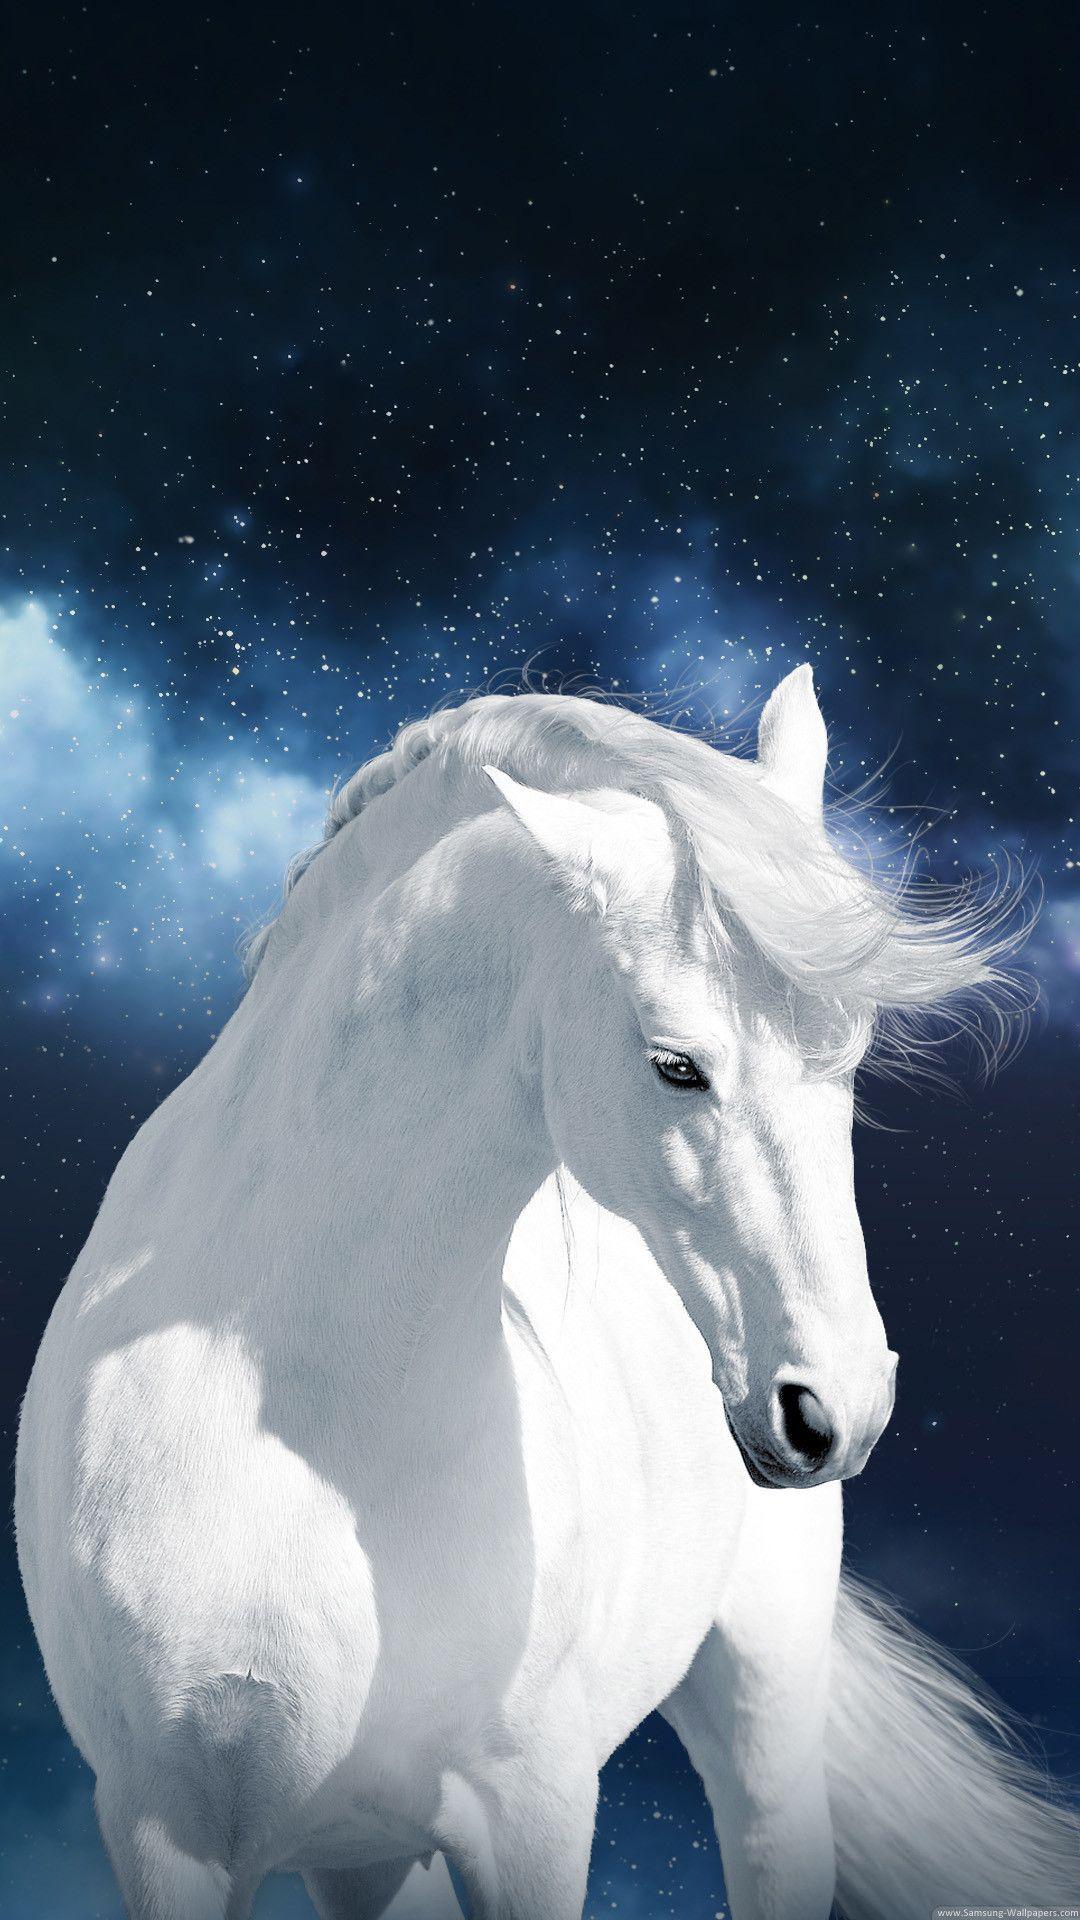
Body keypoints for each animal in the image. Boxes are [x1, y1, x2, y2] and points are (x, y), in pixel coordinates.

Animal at [15, 666, 1077, 1920]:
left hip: (763, 1694)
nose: (835, 1409)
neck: (304, 1416)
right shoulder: (165, 1832)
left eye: (852, 1056)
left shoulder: (530, 1814)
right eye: (676, 1064)